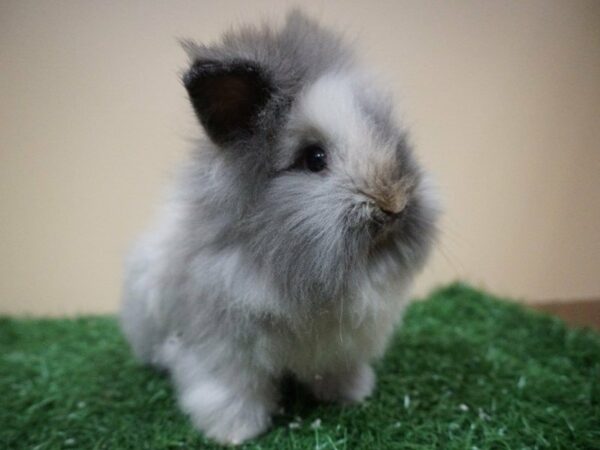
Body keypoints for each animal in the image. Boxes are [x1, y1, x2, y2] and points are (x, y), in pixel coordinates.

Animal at [120, 10, 440, 446]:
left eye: (388, 136)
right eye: (314, 158)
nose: (395, 204)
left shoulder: (341, 349)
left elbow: (338, 372)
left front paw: (350, 397)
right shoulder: (221, 350)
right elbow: (230, 390)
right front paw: (234, 432)